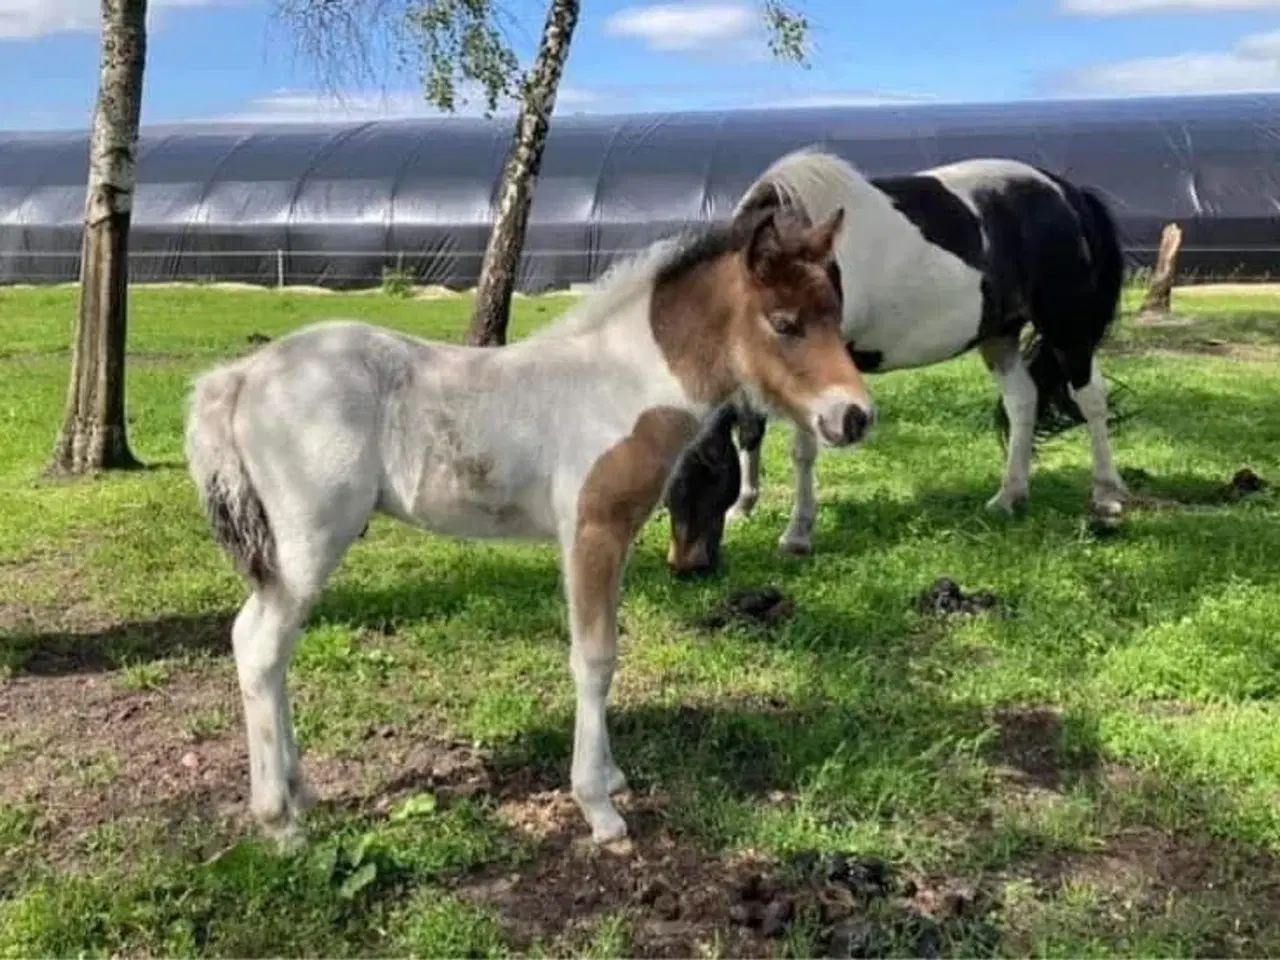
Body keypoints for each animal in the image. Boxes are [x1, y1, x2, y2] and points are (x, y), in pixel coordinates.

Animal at [185, 204, 875, 849]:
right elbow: (594, 658)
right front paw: (599, 807)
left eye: (836, 315)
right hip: (309, 542)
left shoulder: (617, 538)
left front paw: (613, 775)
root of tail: (241, 376)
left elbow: (607, 649)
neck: (622, 384)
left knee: (267, 648)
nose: (855, 416)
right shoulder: (591, 532)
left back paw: (301, 793)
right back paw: (280, 821)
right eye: (784, 323)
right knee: (259, 645)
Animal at [665, 146, 1126, 576]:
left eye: (703, 474)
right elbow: (750, 431)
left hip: (1068, 325)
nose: (688, 565)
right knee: (1022, 402)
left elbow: (802, 450)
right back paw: (1009, 496)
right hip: (1000, 334)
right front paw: (744, 506)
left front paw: (797, 533)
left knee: (1091, 399)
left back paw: (1107, 493)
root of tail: (1068, 192)